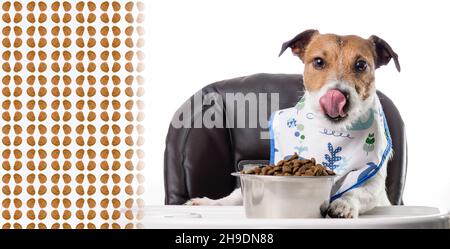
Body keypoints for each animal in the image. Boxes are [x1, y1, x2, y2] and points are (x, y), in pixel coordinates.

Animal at [186, 29, 400, 218]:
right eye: (319, 62)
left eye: (361, 65)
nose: (337, 95)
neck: (332, 130)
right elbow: (238, 193)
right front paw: (210, 202)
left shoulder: (374, 184)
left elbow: (358, 191)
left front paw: (343, 204)